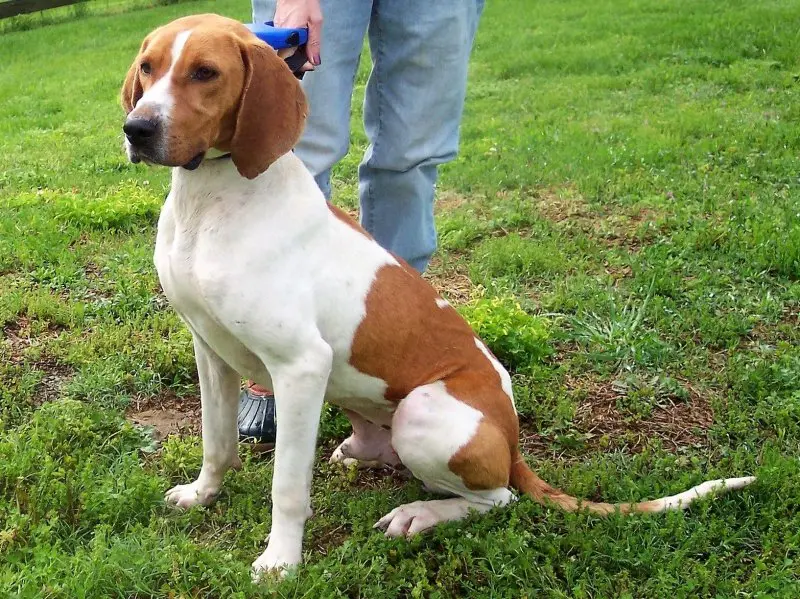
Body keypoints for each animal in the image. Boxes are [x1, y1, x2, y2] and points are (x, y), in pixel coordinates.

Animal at [120, 12, 756, 576]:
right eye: (148, 68)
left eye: (205, 72)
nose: (137, 129)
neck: (212, 201)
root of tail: (513, 440)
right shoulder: (211, 350)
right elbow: (217, 442)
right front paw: (202, 494)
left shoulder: (301, 367)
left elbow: (287, 487)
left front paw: (281, 562)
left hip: (422, 413)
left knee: (495, 499)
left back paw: (420, 513)